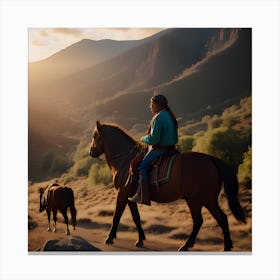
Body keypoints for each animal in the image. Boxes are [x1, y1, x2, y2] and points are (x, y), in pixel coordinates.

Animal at [89, 121, 245, 252]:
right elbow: (136, 217)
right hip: (208, 200)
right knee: (221, 218)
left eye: (94, 136)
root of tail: (211, 159)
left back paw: (187, 245)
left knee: (199, 221)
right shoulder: (130, 197)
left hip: (196, 200)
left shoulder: (122, 194)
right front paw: (140, 239)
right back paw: (226, 246)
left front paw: (109, 238)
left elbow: (116, 216)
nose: (90, 152)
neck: (125, 160)